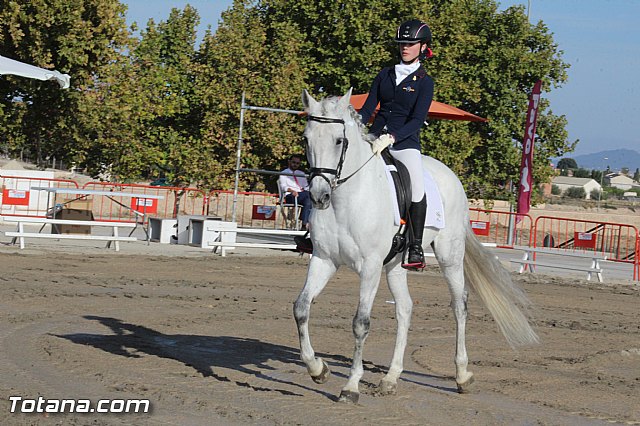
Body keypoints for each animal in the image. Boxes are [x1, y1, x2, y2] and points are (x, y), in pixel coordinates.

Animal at [296, 89, 540, 402]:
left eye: (339, 140)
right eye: (306, 139)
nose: (319, 196)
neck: (345, 200)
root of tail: (449, 174)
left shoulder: (370, 266)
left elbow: (361, 323)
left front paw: (351, 386)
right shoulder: (324, 259)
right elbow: (302, 308)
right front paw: (318, 369)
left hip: (449, 256)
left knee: (459, 305)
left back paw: (462, 376)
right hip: (395, 266)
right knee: (405, 308)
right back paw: (391, 378)